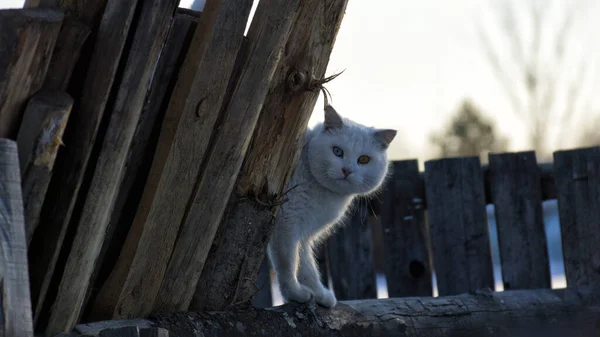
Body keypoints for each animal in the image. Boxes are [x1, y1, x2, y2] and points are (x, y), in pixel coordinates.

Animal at [270, 104, 396, 308]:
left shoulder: (302, 235)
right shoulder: (286, 224)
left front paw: (320, 294)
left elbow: (306, 266)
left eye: (363, 160)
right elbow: (287, 262)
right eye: (337, 151)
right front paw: (295, 294)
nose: (347, 170)